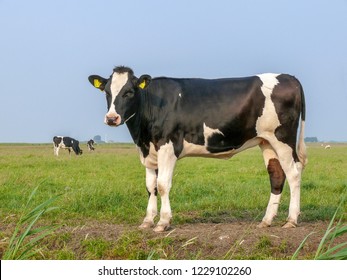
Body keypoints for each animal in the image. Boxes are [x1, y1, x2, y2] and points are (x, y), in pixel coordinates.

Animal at [88, 65, 308, 232]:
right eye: (107, 92)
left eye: (129, 92)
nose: (111, 118)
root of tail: (289, 77)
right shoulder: (148, 151)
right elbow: (151, 187)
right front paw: (148, 220)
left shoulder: (168, 147)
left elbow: (162, 185)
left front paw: (163, 222)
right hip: (266, 141)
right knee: (276, 175)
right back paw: (267, 220)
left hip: (283, 138)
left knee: (294, 174)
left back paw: (291, 220)